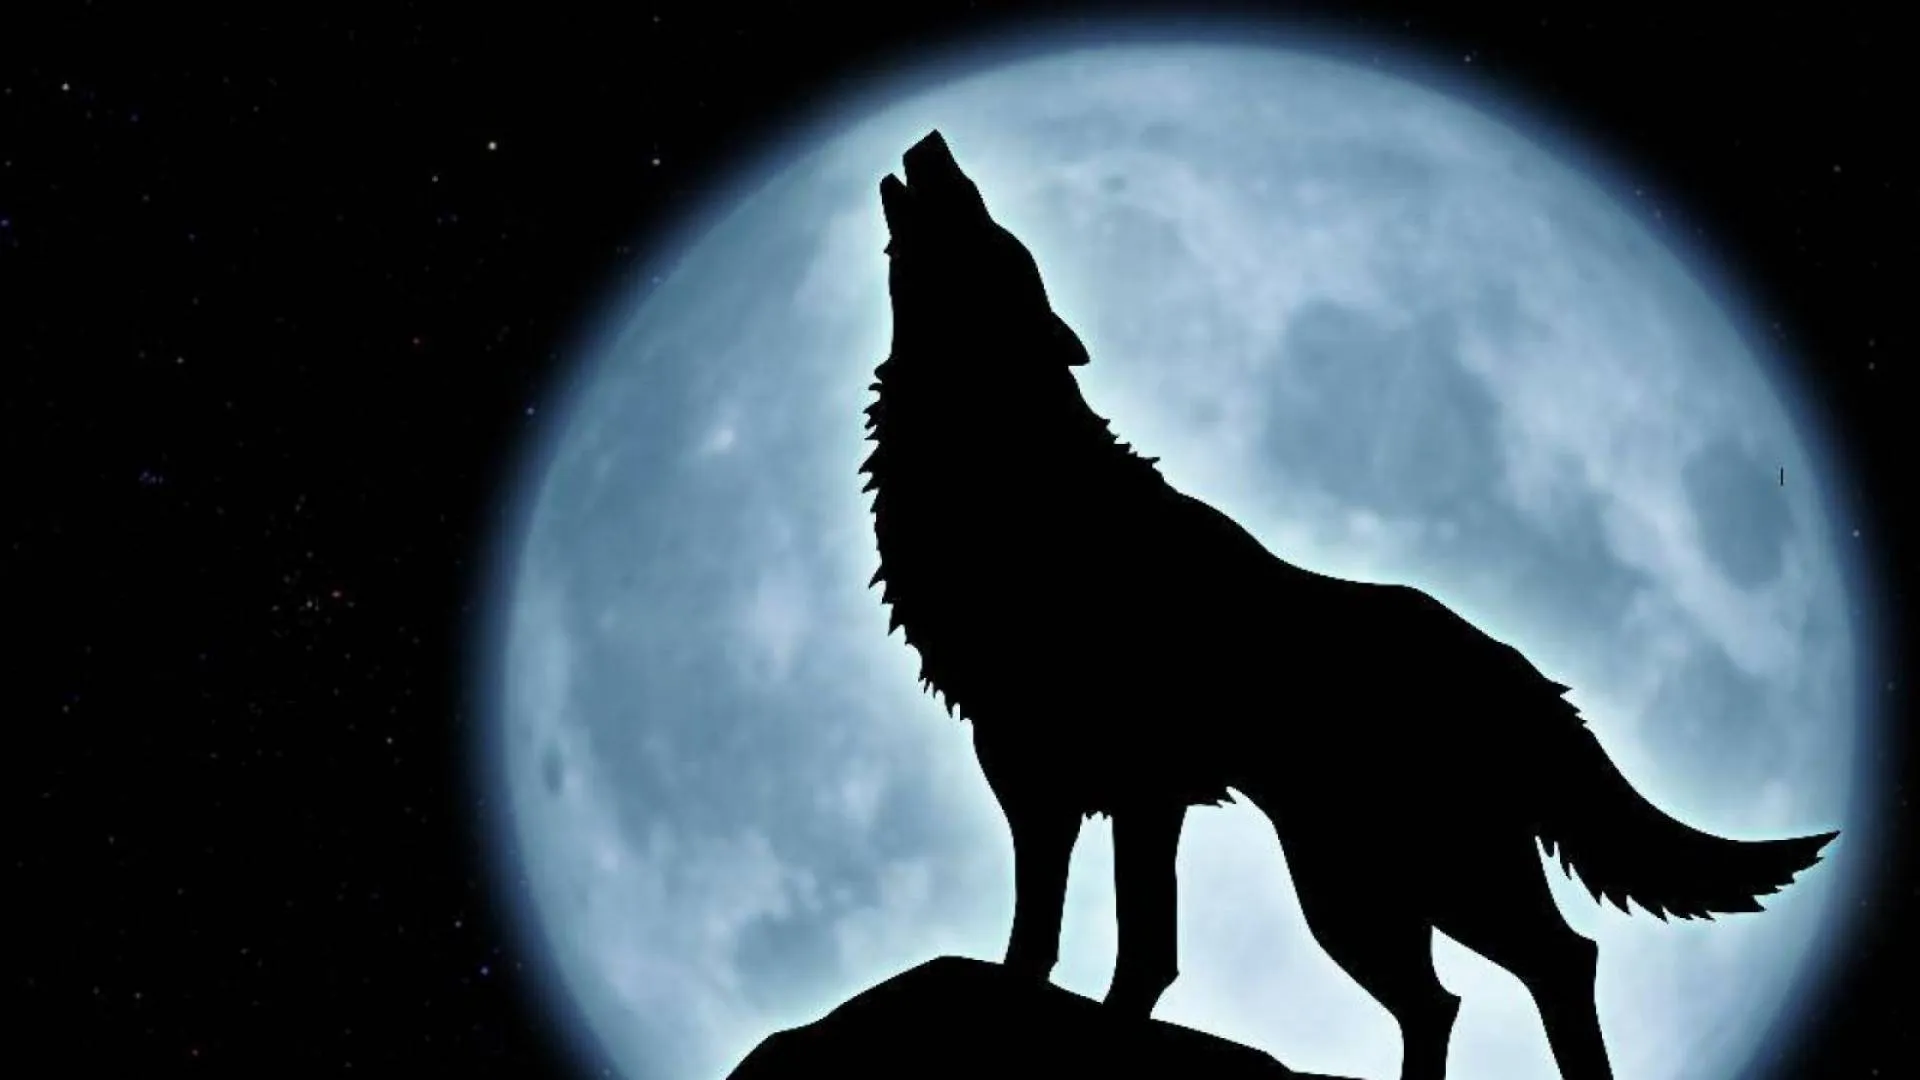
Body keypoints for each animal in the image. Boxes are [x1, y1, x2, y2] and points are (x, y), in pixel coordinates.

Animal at [858, 130, 1837, 1080]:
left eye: (994, 237)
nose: (935, 141)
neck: (1019, 472)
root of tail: (1522, 672)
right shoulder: (1055, 786)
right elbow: (1079, 941)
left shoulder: (1119, 788)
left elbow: (1118, 947)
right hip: (1359, 885)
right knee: (1443, 1000)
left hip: (1412, 874)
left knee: (1558, 962)